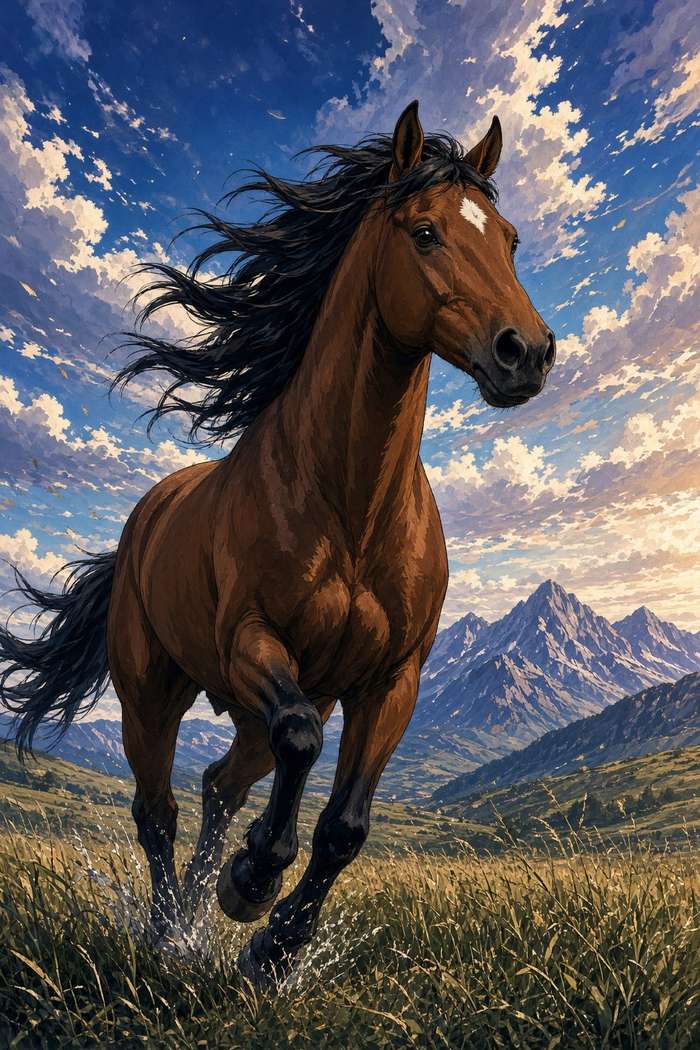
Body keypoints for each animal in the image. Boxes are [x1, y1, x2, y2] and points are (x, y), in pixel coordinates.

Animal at [0, 100, 555, 991]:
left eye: (507, 238)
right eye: (425, 232)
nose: (526, 352)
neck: (351, 506)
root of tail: (144, 518)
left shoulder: (391, 680)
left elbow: (346, 825)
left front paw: (274, 943)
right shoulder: (251, 644)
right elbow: (301, 742)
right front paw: (255, 879)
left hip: (266, 705)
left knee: (222, 785)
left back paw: (205, 910)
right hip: (151, 693)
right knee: (159, 809)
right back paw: (172, 932)